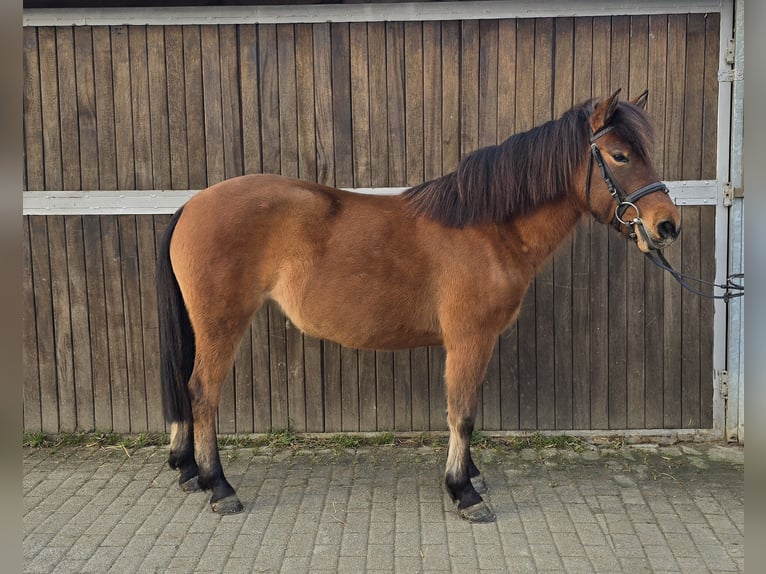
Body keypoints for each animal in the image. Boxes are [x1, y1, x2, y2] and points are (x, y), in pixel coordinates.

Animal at [158, 89, 684, 520]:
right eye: (620, 155)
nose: (667, 225)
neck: (488, 228)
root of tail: (192, 205)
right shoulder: (470, 339)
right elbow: (463, 413)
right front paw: (463, 491)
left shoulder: (474, 343)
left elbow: (467, 410)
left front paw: (471, 476)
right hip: (221, 323)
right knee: (202, 392)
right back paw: (219, 486)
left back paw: (189, 471)